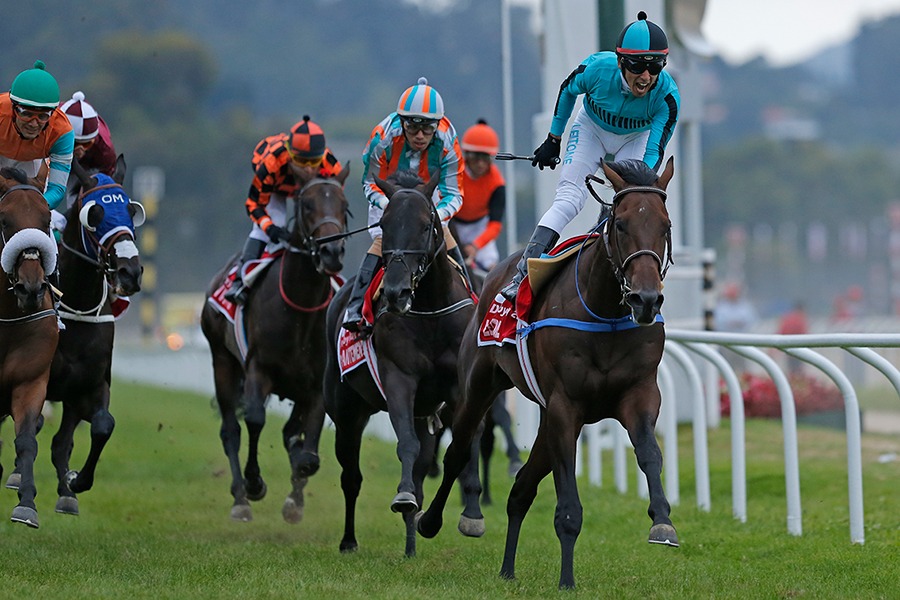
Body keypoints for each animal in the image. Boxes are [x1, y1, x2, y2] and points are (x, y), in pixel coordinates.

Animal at [32, 155, 143, 516]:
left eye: (131, 209)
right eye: (94, 214)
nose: (130, 272)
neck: (76, 306)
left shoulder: (88, 385)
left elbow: (102, 425)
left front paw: (74, 482)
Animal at [200, 169, 350, 522]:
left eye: (345, 206)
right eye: (307, 205)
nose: (332, 253)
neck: (300, 308)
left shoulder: (315, 386)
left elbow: (307, 452)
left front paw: (296, 498)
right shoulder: (259, 369)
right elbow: (255, 420)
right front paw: (254, 484)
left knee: (289, 433)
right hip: (222, 362)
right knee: (231, 430)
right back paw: (240, 498)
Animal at [323, 170, 481, 558]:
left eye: (426, 225)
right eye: (384, 224)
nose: (396, 292)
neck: (431, 311)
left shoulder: (459, 388)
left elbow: (464, 445)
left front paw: (471, 514)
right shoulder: (399, 377)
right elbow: (406, 444)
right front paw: (404, 496)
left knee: (423, 464)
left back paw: (411, 545)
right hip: (347, 411)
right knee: (351, 476)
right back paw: (350, 540)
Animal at [416, 157, 679, 589]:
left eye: (665, 225)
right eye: (621, 224)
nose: (645, 299)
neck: (605, 312)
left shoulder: (639, 395)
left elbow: (649, 454)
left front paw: (662, 520)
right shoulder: (564, 407)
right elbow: (568, 502)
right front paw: (567, 580)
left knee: (521, 488)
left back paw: (507, 569)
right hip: (478, 384)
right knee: (458, 451)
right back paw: (435, 521)